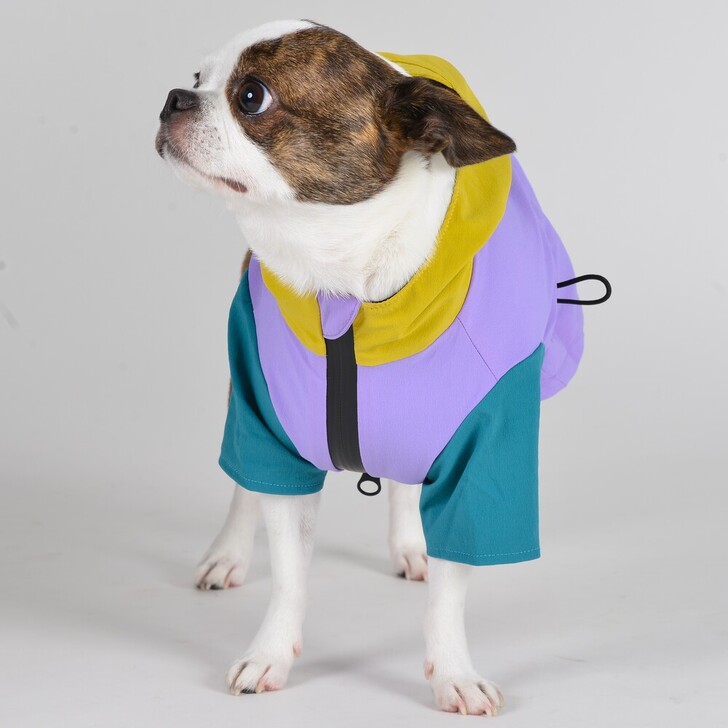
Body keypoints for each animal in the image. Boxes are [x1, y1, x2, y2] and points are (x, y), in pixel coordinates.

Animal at [156, 19, 587, 715]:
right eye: (199, 78)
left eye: (251, 96)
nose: (175, 97)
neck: (347, 281)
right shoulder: (276, 430)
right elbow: (288, 568)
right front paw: (271, 654)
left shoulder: (480, 454)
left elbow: (449, 589)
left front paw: (453, 673)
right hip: (245, 394)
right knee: (245, 478)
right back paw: (227, 554)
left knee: (408, 478)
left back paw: (411, 543)